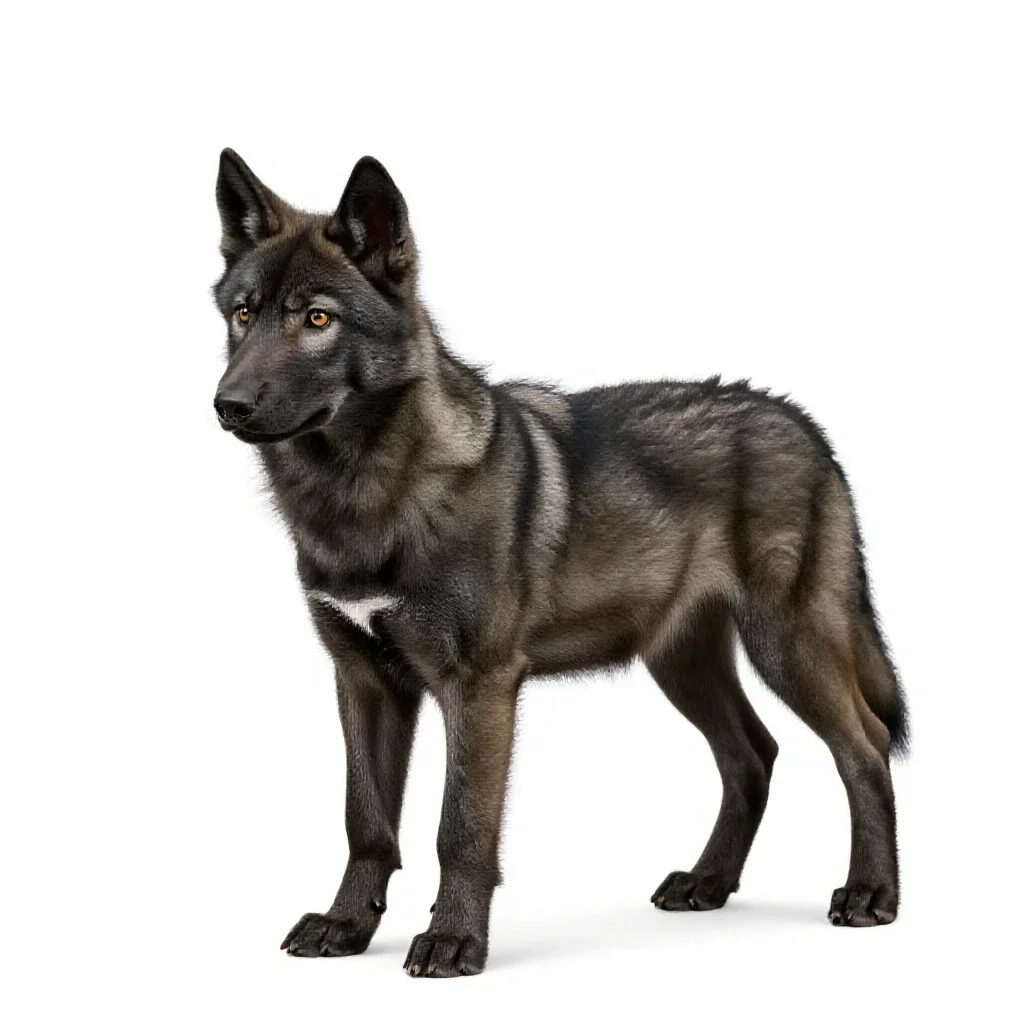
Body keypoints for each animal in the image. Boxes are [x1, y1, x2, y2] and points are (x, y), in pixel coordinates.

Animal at [212, 150, 907, 978]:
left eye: (317, 319)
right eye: (243, 314)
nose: (227, 405)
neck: (368, 494)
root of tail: (805, 425)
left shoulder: (478, 687)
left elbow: (461, 829)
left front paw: (454, 941)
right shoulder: (363, 681)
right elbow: (367, 822)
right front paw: (346, 927)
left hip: (787, 646)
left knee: (864, 748)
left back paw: (871, 894)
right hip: (681, 663)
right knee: (753, 755)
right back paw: (707, 882)